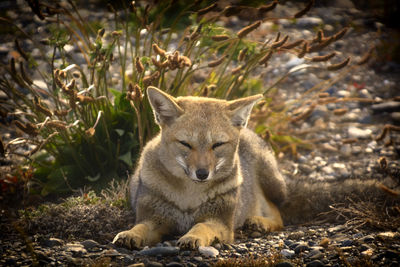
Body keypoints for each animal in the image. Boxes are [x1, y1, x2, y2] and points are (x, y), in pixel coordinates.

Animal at [113, 87, 288, 250]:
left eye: (217, 144)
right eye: (185, 144)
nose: (202, 174)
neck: (189, 196)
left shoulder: (220, 221)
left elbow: (201, 226)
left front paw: (192, 237)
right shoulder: (153, 218)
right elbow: (140, 227)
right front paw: (129, 234)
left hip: (270, 185)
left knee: (278, 214)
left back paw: (259, 222)